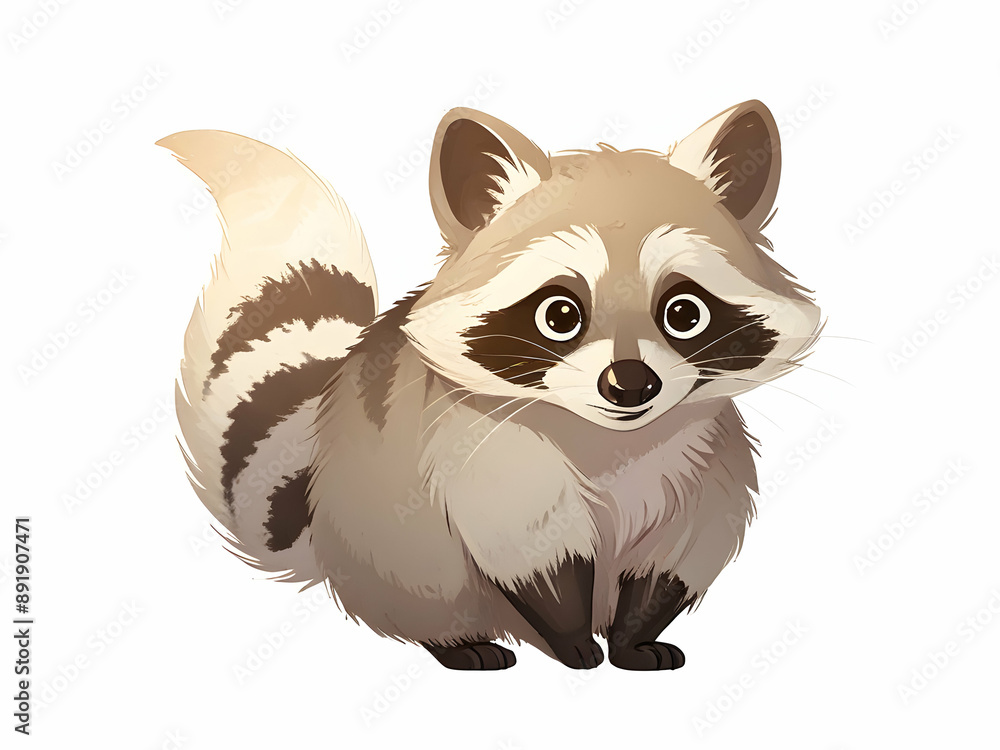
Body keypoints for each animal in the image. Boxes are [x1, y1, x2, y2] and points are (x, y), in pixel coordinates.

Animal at [161, 100, 821, 671]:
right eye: (560, 314)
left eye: (684, 313)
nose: (630, 384)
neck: (609, 440)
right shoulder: (485, 454)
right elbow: (528, 555)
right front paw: (572, 639)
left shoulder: (709, 462)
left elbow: (675, 557)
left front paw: (633, 639)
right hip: (386, 540)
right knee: (426, 583)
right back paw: (458, 644)